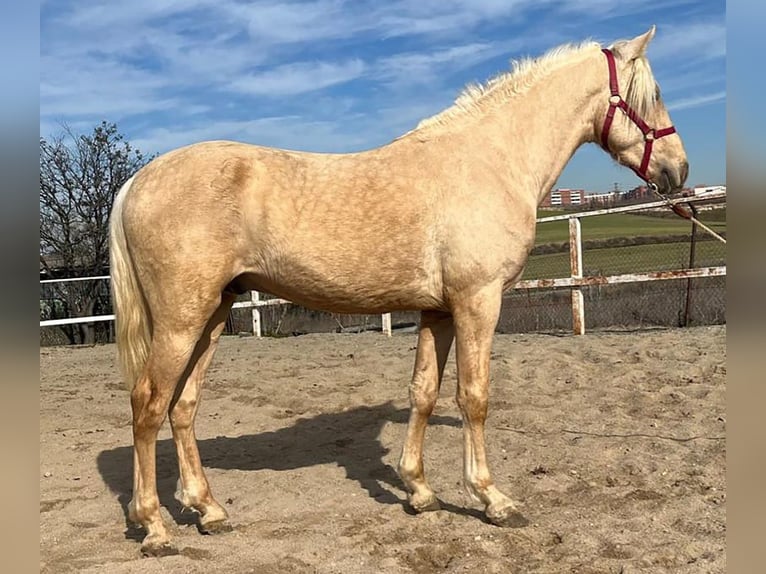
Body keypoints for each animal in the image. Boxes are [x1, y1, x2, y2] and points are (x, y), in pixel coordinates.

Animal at [108, 28, 688, 560]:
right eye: (653, 93)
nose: (678, 170)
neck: (490, 161)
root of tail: (137, 181)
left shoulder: (439, 311)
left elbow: (424, 393)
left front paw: (419, 491)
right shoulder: (478, 301)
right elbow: (474, 397)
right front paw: (492, 500)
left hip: (212, 315)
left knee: (183, 407)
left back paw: (209, 511)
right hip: (181, 321)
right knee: (149, 404)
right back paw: (155, 527)